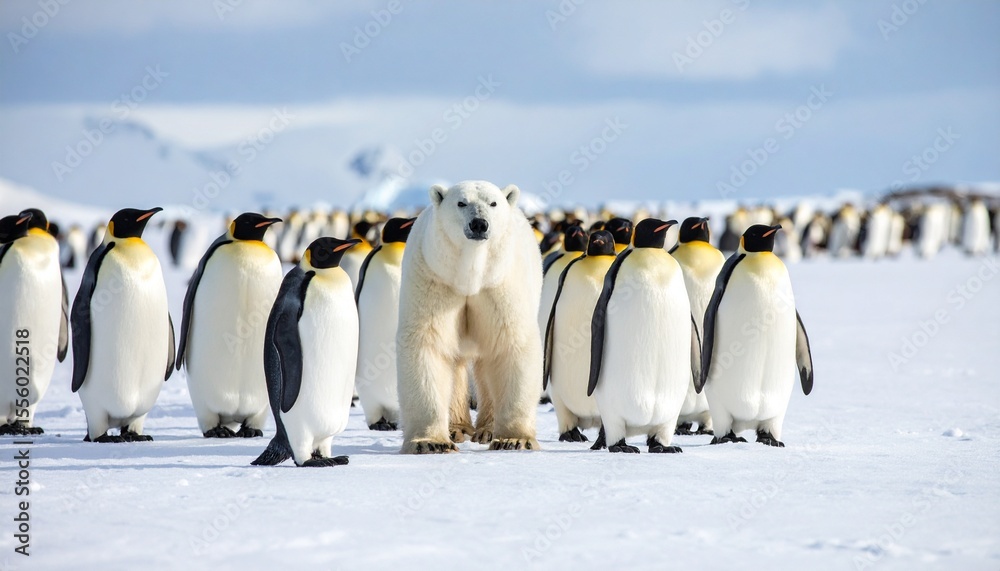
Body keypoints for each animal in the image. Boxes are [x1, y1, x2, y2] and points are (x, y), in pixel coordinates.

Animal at [396, 180, 543, 454]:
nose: (479, 224)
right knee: (457, 365)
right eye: (461, 203)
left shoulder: (499, 284)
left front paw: (514, 439)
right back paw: (457, 428)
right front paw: (430, 442)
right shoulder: (435, 279)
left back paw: (487, 430)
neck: (470, 276)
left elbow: (511, 344)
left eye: (493, 203)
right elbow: (428, 343)